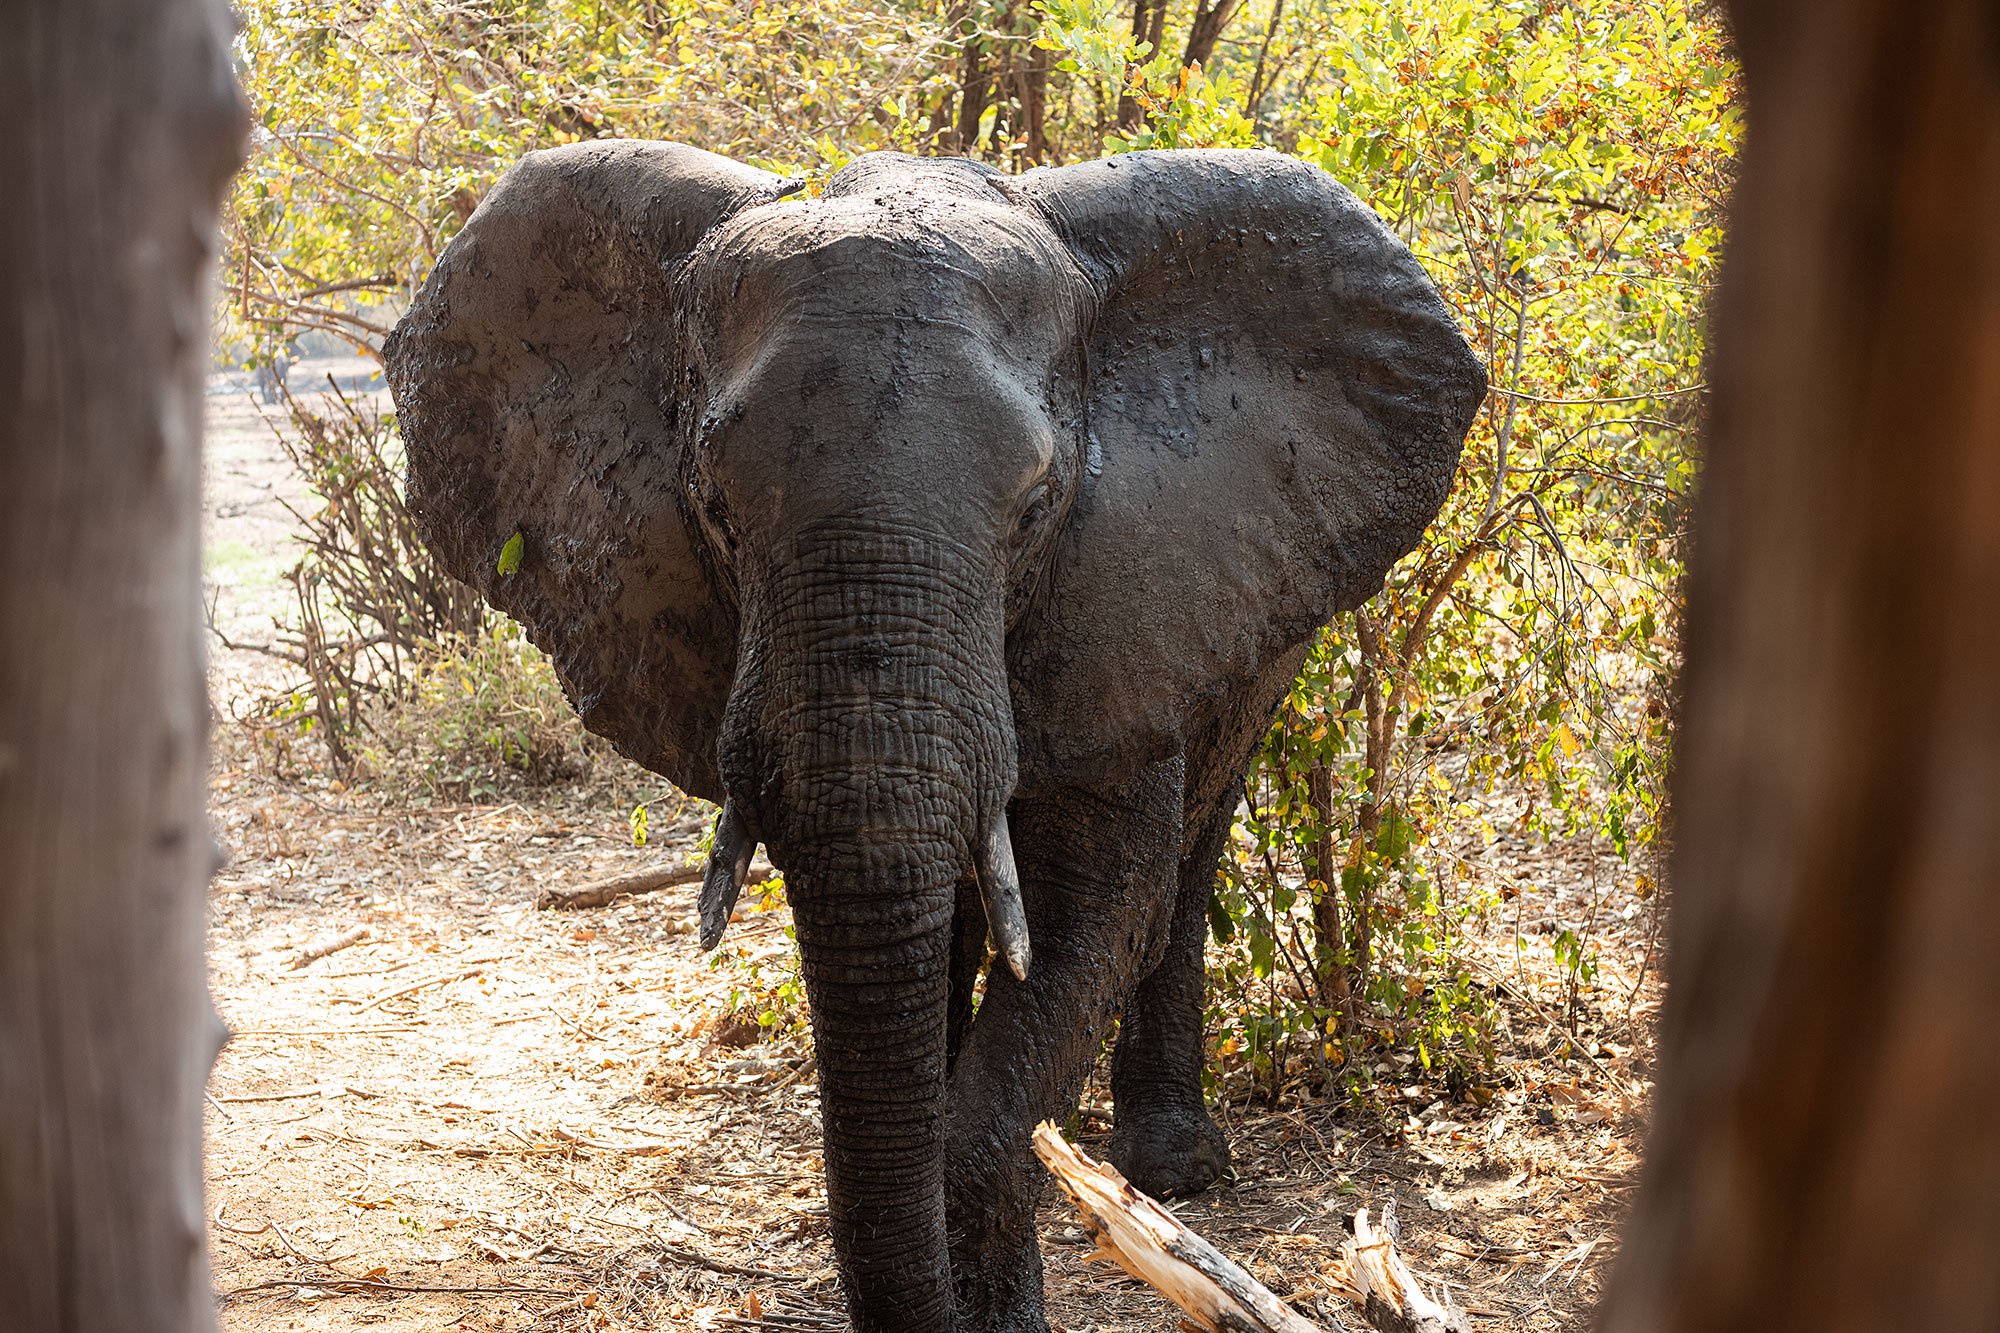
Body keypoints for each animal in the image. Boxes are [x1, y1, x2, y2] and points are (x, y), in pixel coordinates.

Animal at [382, 140, 1485, 1332]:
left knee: (1194, 846)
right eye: (712, 508)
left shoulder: (1126, 592)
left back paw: (1170, 1172)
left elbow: (1097, 908)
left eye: (1038, 506)